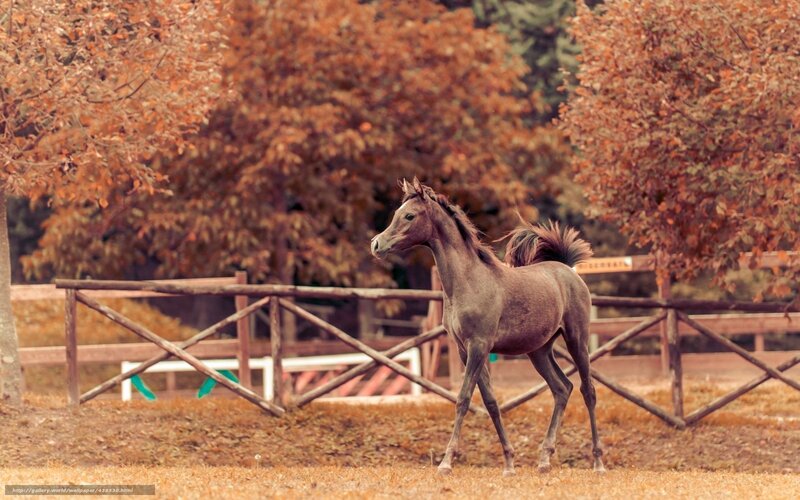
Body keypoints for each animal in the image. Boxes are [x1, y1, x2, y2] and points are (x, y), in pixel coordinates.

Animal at [371, 177, 604, 476]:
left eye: (409, 215)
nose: (376, 244)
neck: (469, 282)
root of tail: (567, 269)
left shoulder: (478, 346)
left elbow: (463, 399)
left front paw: (446, 463)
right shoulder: (465, 350)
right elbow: (491, 402)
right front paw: (509, 464)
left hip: (577, 339)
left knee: (588, 391)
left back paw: (598, 462)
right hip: (539, 351)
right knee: (562, 389)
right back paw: (544, 460)